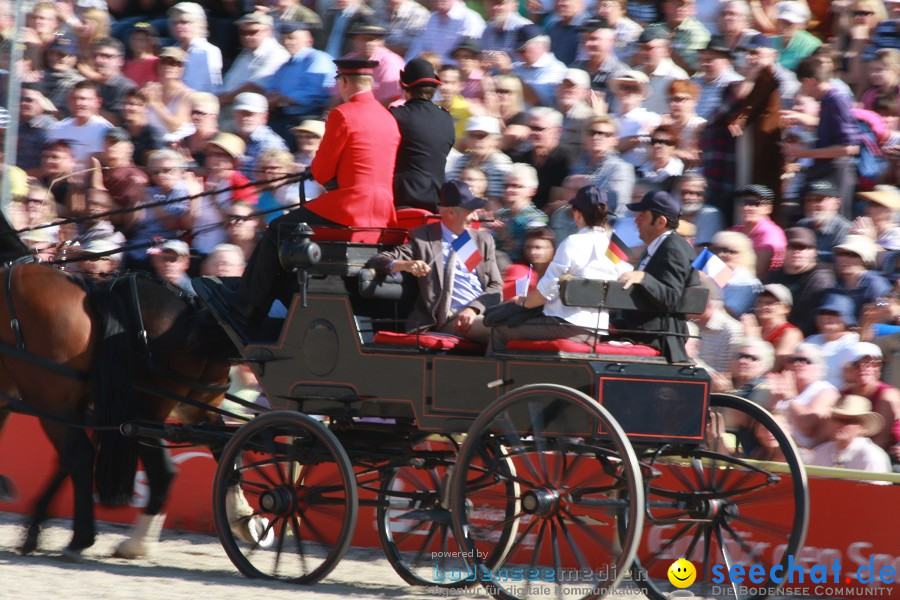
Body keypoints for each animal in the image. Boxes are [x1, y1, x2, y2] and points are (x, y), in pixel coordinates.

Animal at [0, 262, 237, 556]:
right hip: (194, 405)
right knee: (222, 449)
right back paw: (243, 519)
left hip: (77, 402)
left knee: (104, 460)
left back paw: (95, 539)